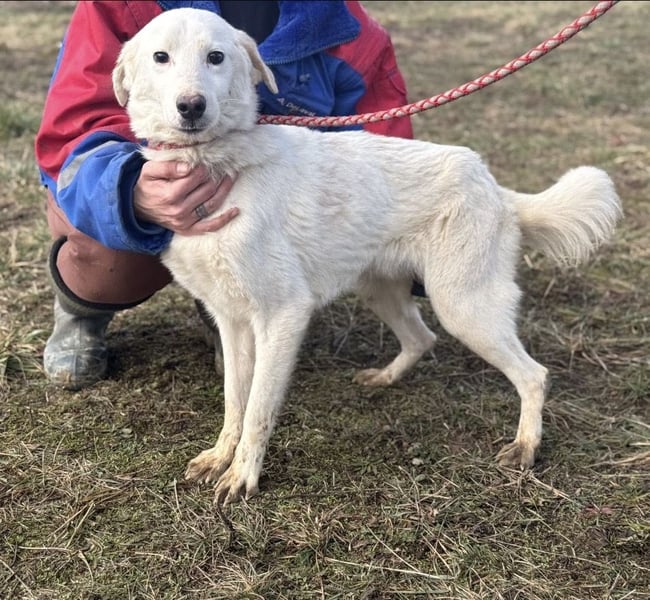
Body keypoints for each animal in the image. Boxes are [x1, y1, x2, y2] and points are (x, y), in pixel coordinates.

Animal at [112, 8, 622, 504]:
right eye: (161, 57)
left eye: (215, 57)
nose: (192, 106)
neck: (217, 164)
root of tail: (496, 188)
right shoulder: (232, 322)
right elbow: (234, 402)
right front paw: (221, 456)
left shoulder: (283, 315)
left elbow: (257, 409)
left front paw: (243, 475)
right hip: (382, 291)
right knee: (421, 338)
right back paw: (386, 379)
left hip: (463, 306)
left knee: (533, 375)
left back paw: (526, 446)